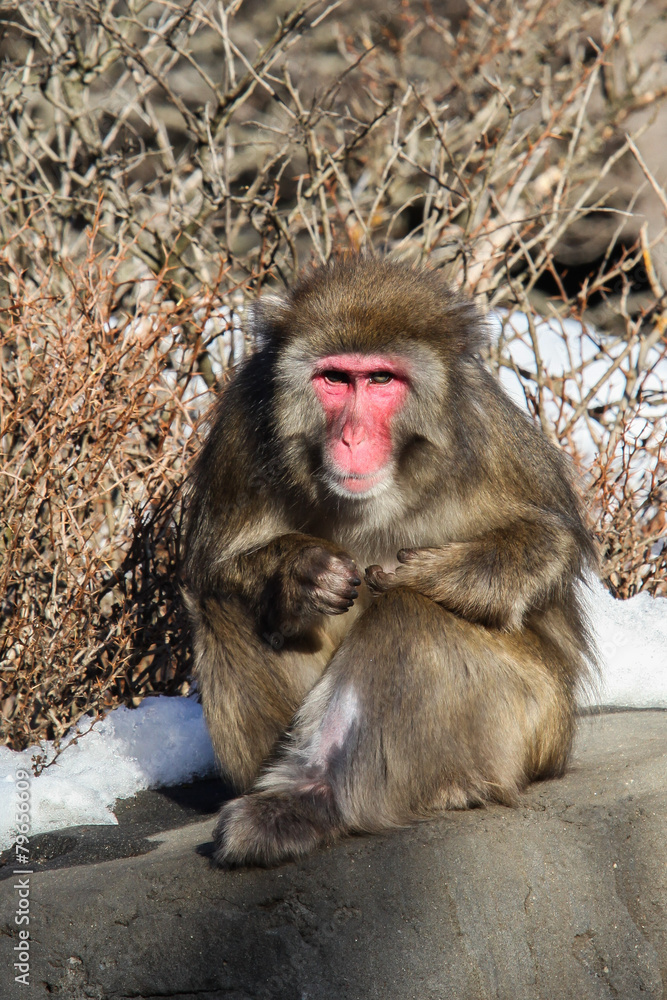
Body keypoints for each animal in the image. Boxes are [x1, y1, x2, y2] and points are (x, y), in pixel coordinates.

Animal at [182, 256, 598, 867]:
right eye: (335, 379)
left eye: (381, 380)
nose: (352, 438)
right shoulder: (242, 421)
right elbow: (213, 563)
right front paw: (300, 571)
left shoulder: (485, 430)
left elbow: (549, 540)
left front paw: (437, 572)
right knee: (221, 602)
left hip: (537, 726)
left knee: (410, 615)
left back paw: (319, 797)